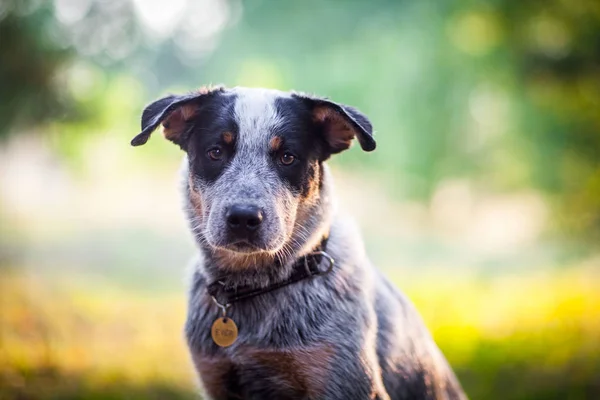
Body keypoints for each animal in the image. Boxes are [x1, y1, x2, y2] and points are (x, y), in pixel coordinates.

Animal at [131, 86, 466, 398]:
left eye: (287, 157)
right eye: (215, 152)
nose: (243, 218)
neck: (255, 287)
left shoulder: (347, 383)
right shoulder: (217, 378)